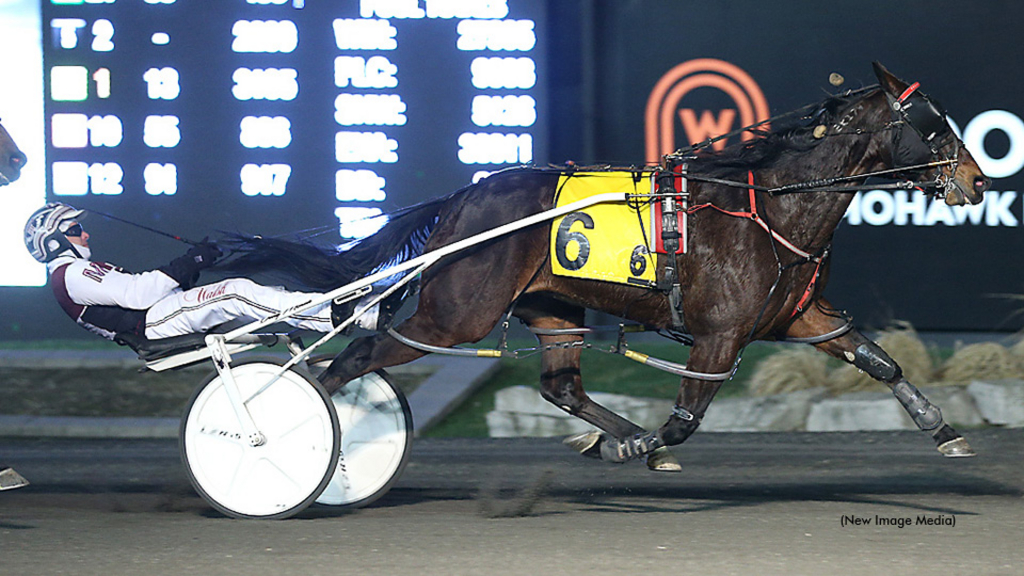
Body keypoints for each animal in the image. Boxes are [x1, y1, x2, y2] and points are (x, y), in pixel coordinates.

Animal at [224, 62, 991, 469]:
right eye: (933, 124)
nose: (978, 180)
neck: (774, 207)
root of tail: (461, 199)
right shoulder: (720, 335)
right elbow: (684, 419)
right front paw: (645, 443)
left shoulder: (801, 317)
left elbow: (880, 360)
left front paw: (944, 429)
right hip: (455, 313)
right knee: (351, 358)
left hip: (553, 306)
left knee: (560, 385)